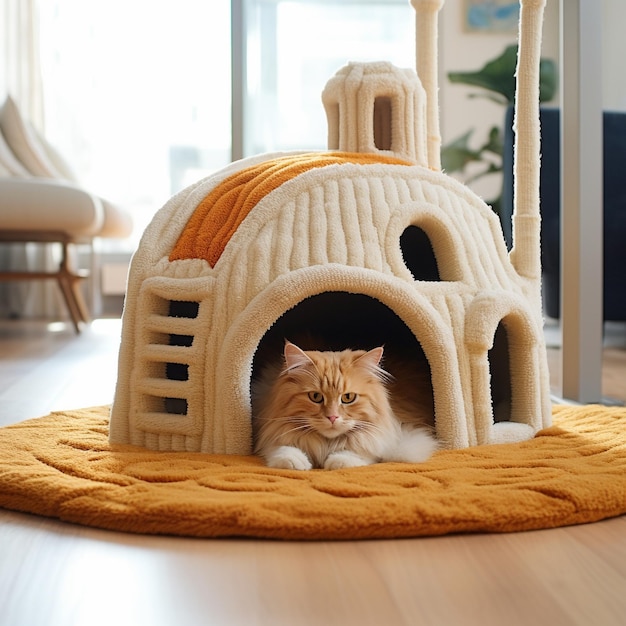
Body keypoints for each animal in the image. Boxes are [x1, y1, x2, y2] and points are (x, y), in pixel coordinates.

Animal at [251, 342, 436, 468]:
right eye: (316, 397)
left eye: (348, 397)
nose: (332, 417)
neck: (326, 444)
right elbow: (281, 449)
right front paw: (296, 461)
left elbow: (362, 451)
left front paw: (338, 460)